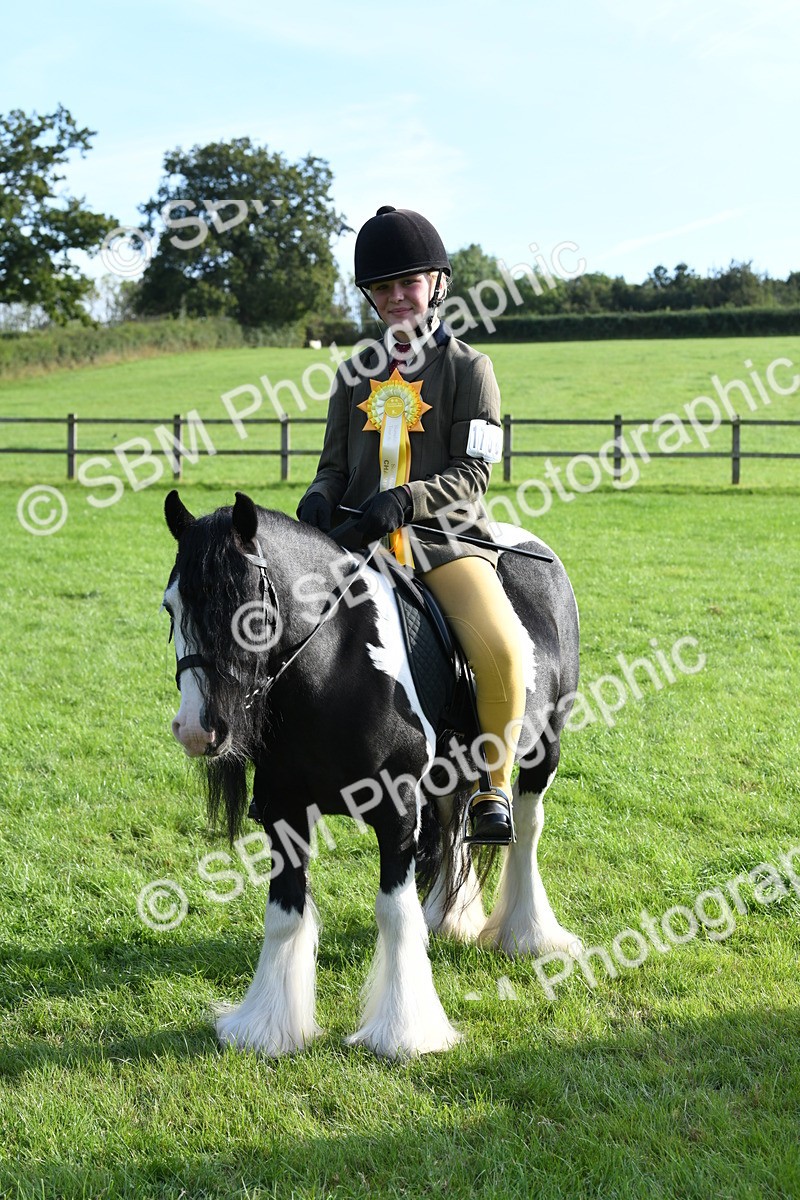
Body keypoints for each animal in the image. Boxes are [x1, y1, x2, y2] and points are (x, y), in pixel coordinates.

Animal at [162, 489, 582, 1059]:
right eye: (171, 606)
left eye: (248, 610)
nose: (195, 729)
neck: (336, 670)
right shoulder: (285, 813)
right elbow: (284, 914)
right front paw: (268, 1028)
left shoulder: (397, 810)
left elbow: (394, 912)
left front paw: (406, 1032)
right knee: (452, 827)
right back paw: (449, 919)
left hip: (544, 748)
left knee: (526, 829)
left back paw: (529, 934)